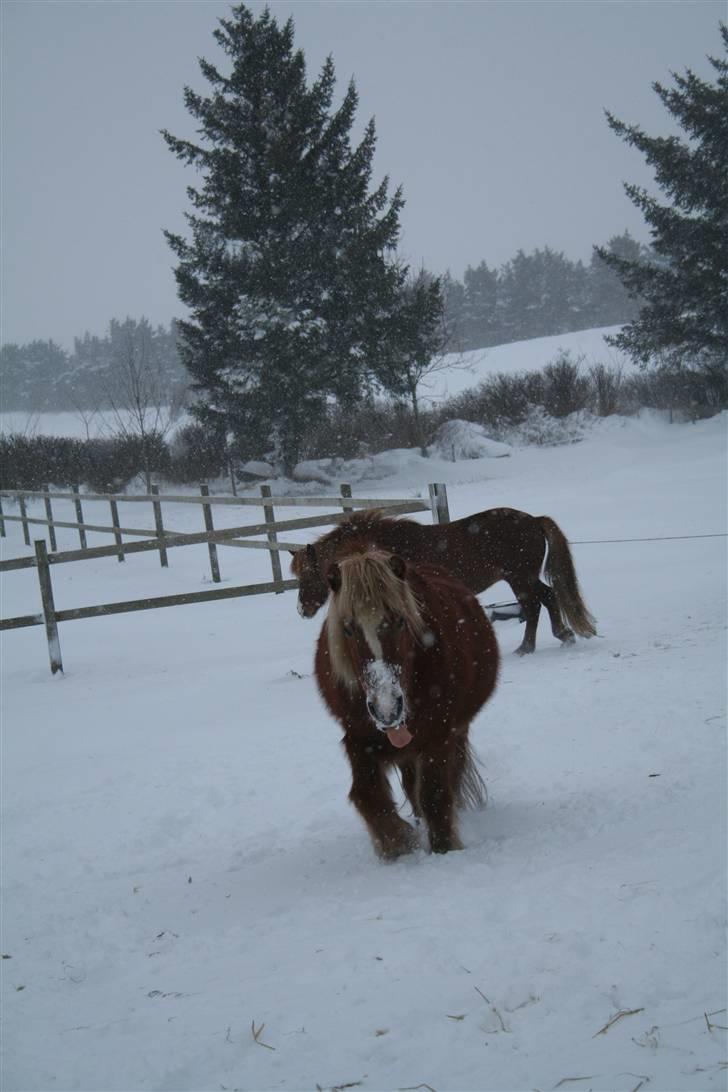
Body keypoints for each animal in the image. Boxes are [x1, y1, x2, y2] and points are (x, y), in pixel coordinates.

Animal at [292, 506, 598, 650]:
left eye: (307, 575)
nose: (301, 610)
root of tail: (534, 519)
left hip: (519, 578)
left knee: (534, 606)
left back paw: (527, 647)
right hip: (524, 577)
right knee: (548, 597)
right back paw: (563, 635)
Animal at [316, 550, 497, 856]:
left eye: (400, 621)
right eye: (348, 628)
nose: (387, 709)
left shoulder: (438, 736)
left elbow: (435, 794)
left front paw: (443, 849)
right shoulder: (358, 738)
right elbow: (367, 796)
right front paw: (398, 846)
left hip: (456, 731)